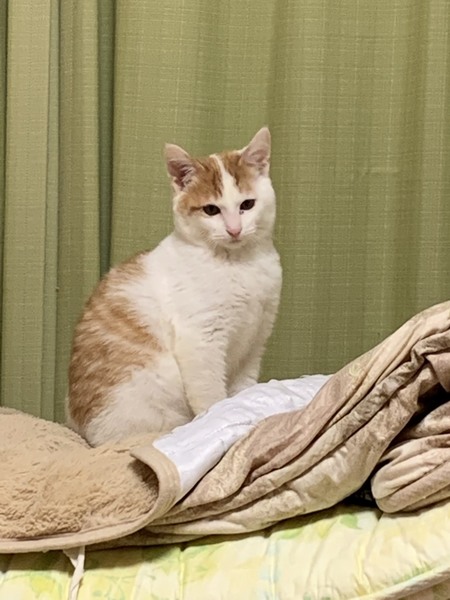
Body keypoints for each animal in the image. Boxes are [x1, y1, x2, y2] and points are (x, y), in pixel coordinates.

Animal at [67, 127, 282, 446]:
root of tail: (82, 435)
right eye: (211, 210)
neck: (240, 265)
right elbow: (213, 399)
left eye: (247, 205)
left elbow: (243, 390)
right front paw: (220, 423)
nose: (234, 230)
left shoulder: (254, 344)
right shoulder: (201, 341)